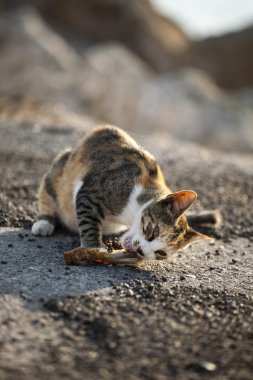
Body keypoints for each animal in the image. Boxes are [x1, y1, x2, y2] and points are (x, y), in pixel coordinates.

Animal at [31, 124, 217, 262]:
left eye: (161, 253)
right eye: (153, 231)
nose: (141, 251)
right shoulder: (94, 190)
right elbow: (88, 219)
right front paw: (93, 248)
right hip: (61, 166)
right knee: (48, 191)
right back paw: (44, 222)